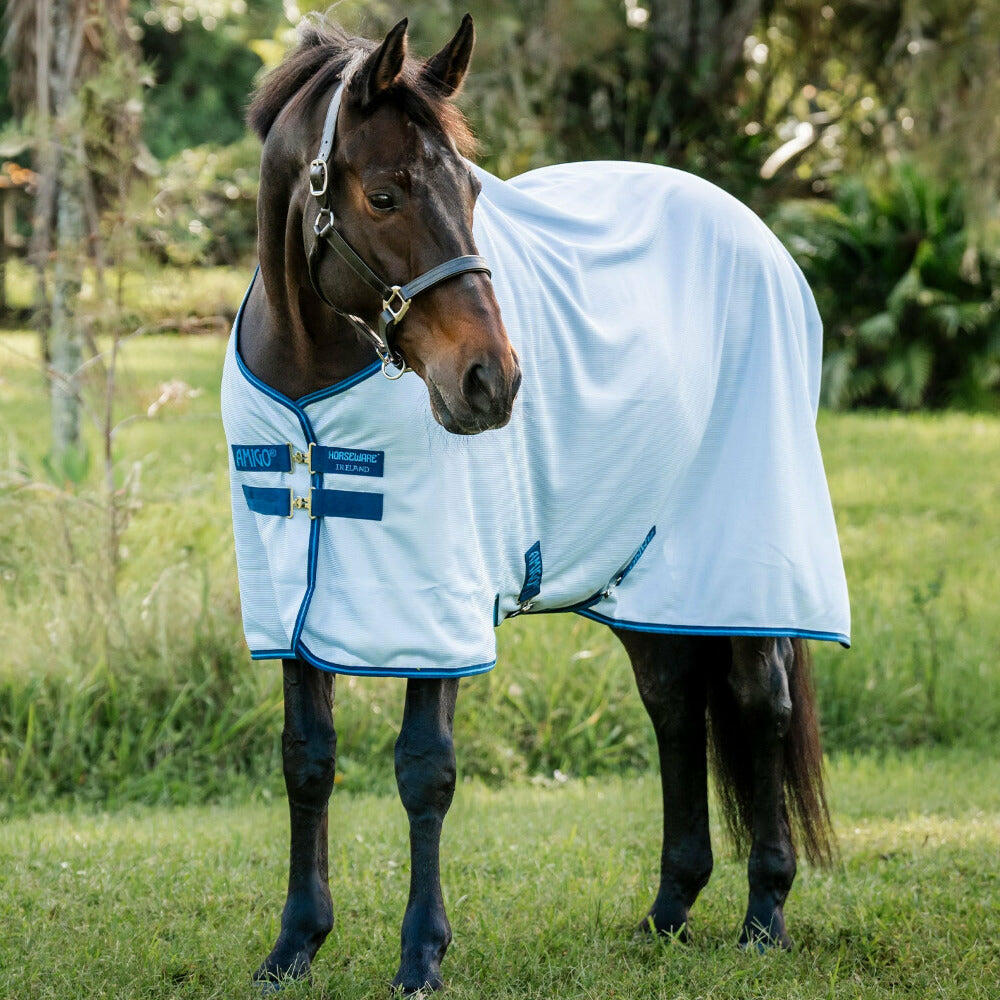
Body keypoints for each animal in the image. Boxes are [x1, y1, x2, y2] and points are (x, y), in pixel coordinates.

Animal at [230, 13, 845, 993]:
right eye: (383, 195)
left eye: (472, 192)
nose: (492, 381)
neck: (310, 386)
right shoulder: (294, 604)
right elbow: (307, 762)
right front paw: (294, 944)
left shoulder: (437, 606)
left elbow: (425, 771)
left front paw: (421, 954)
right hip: (647, 574)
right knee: (675, 701)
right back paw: (669, 911)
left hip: (742, 552)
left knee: (759, 702)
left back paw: (764, 915)